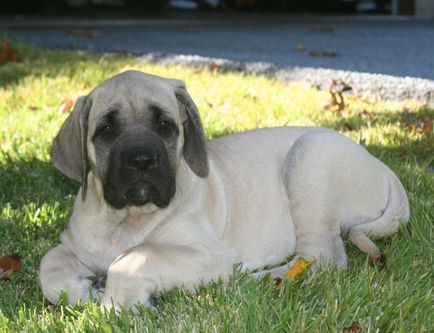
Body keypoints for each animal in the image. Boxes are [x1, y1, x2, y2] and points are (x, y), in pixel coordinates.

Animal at [39, 69, 408, 308]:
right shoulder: (72, 246)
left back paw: (262, 277)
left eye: (165, 125)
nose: (141, 160)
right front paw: (82, 290)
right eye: (106, 130)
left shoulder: (205, 254)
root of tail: (384, 168)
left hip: (310, 157)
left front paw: (117, 302)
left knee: (321, 258)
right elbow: (49, 267)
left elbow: (135, 257)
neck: (126, 219)